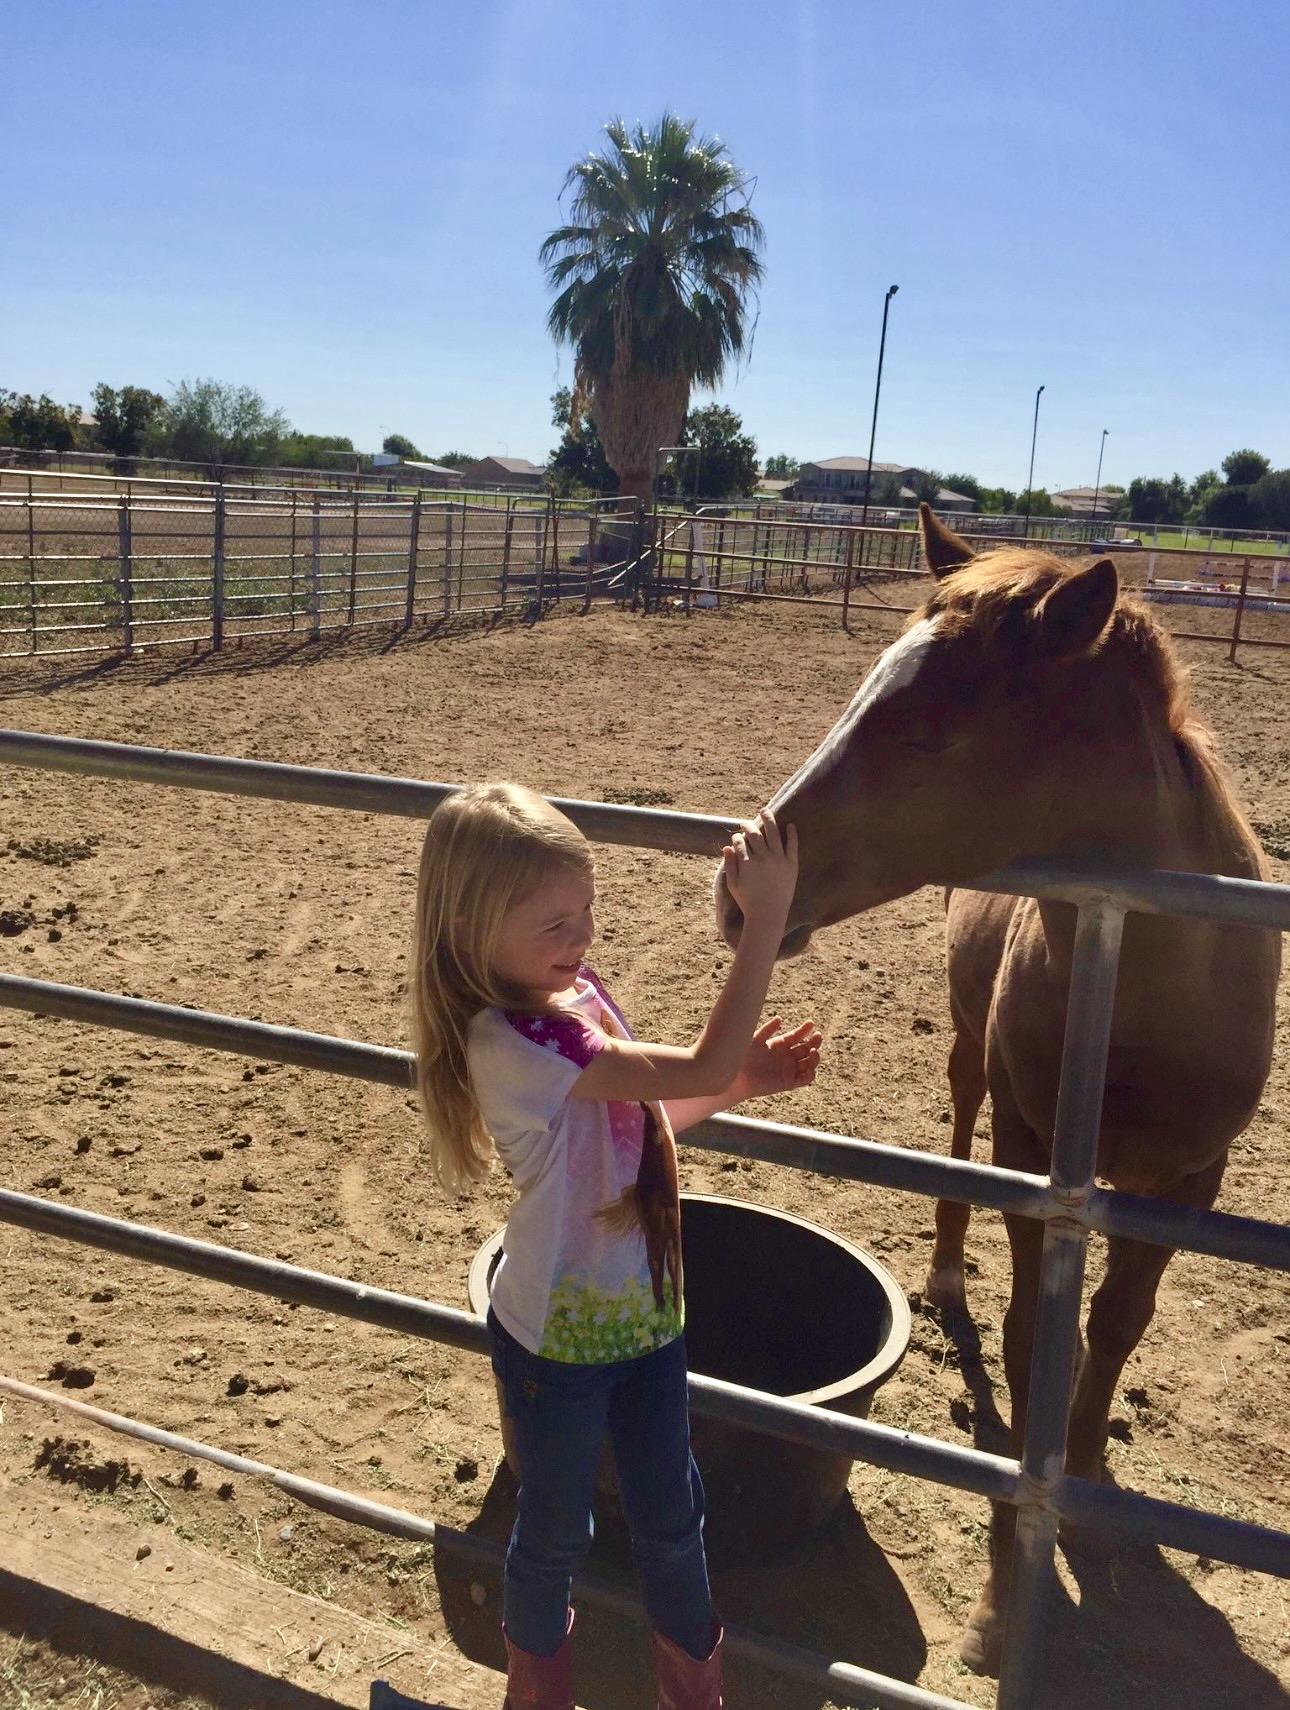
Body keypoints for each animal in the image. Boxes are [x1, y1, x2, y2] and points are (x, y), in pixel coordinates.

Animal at [714, 504, 1280, 1675]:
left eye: (931, 731)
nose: (739, 889)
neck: (1154, 986)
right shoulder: (1031, 1150)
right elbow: (1030, 1335)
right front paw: (1000, 1595)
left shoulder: (1190, 1182)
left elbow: (1116, 1325)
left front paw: (1092, 1479)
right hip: (971, 1051)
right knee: (959, 1126)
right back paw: (943, 1271)